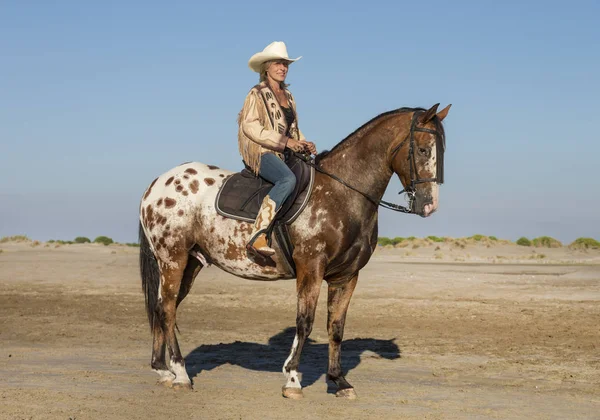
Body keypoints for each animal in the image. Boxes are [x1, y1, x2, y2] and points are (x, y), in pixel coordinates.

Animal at [138, 103, 450, 398]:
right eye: (423, 149)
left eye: (442, 151)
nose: (430, 205)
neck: (342, 193)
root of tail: (157, 185)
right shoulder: (311, 268)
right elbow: (304, 322)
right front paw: (292, 380)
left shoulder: (347, 276)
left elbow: (336, 327)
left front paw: (339, 381)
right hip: (172, 259)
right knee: (167, 309)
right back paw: (180, 374)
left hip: (190, 263)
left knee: (164, 307)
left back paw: (162, 370)